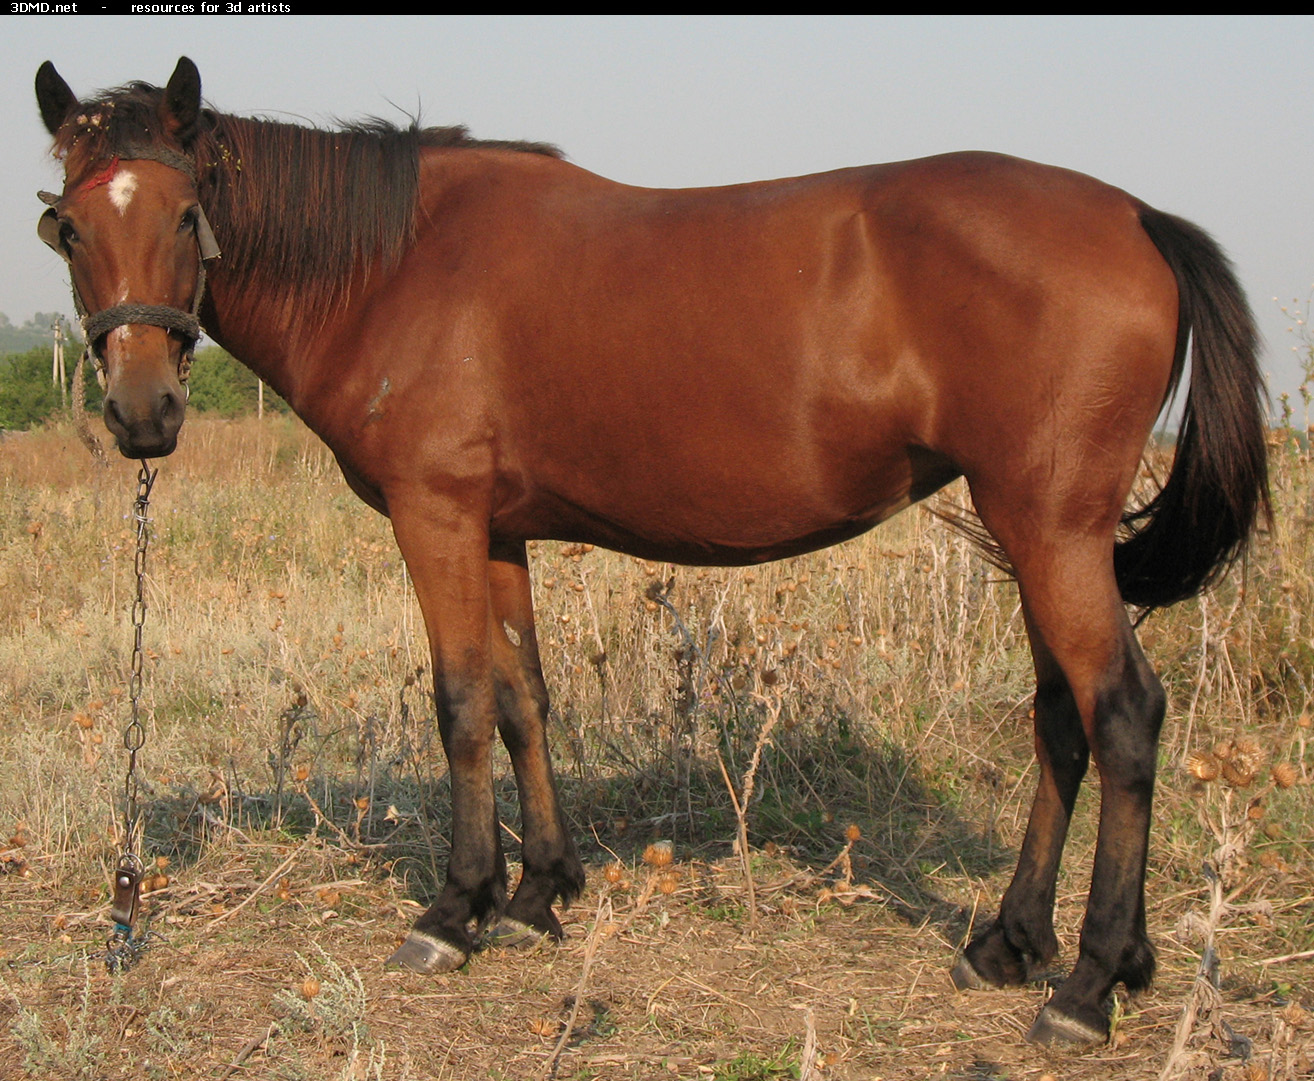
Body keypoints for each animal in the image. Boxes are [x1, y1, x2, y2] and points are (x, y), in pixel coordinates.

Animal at [38, 61, 1271, 1050]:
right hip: (1032, 531)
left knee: (1122, 715)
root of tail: (1137, 216)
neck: (398, 263)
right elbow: (524, 698)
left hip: (1050, 529)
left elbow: (461, 704)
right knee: (1063, 719)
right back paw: (1013, 944)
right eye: (68, 229)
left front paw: (455, 909)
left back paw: (1088, 984)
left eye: (187, 213)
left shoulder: (434, 515)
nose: (141, 415)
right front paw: (537, 893)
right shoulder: (496, 528)